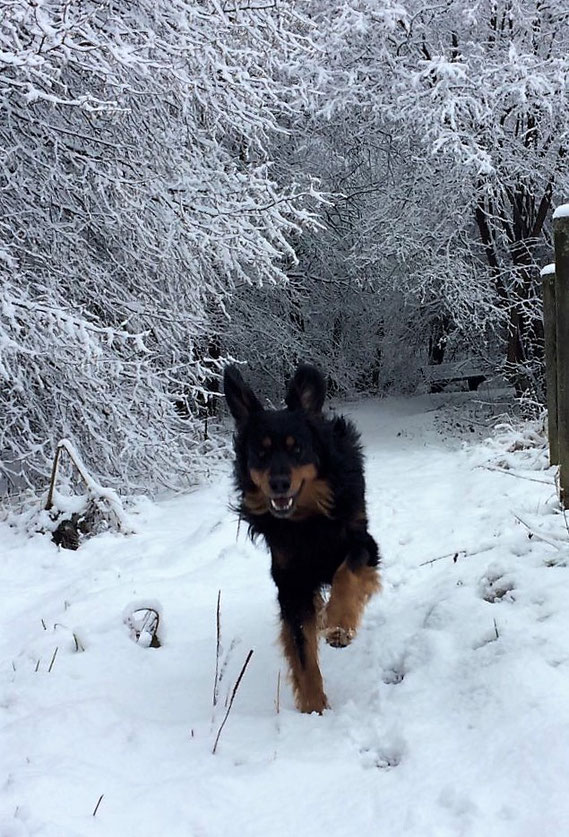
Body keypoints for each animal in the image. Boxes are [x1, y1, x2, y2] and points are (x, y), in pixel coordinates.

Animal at [223, 362, 382, 708]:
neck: (306, 521)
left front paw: (339, 625)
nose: (279, 483)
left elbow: (347, 573)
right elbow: (301, 649)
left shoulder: (363, 543)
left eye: (297, 449)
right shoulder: (291, 581)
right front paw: (314, 709)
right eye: (260, 453)